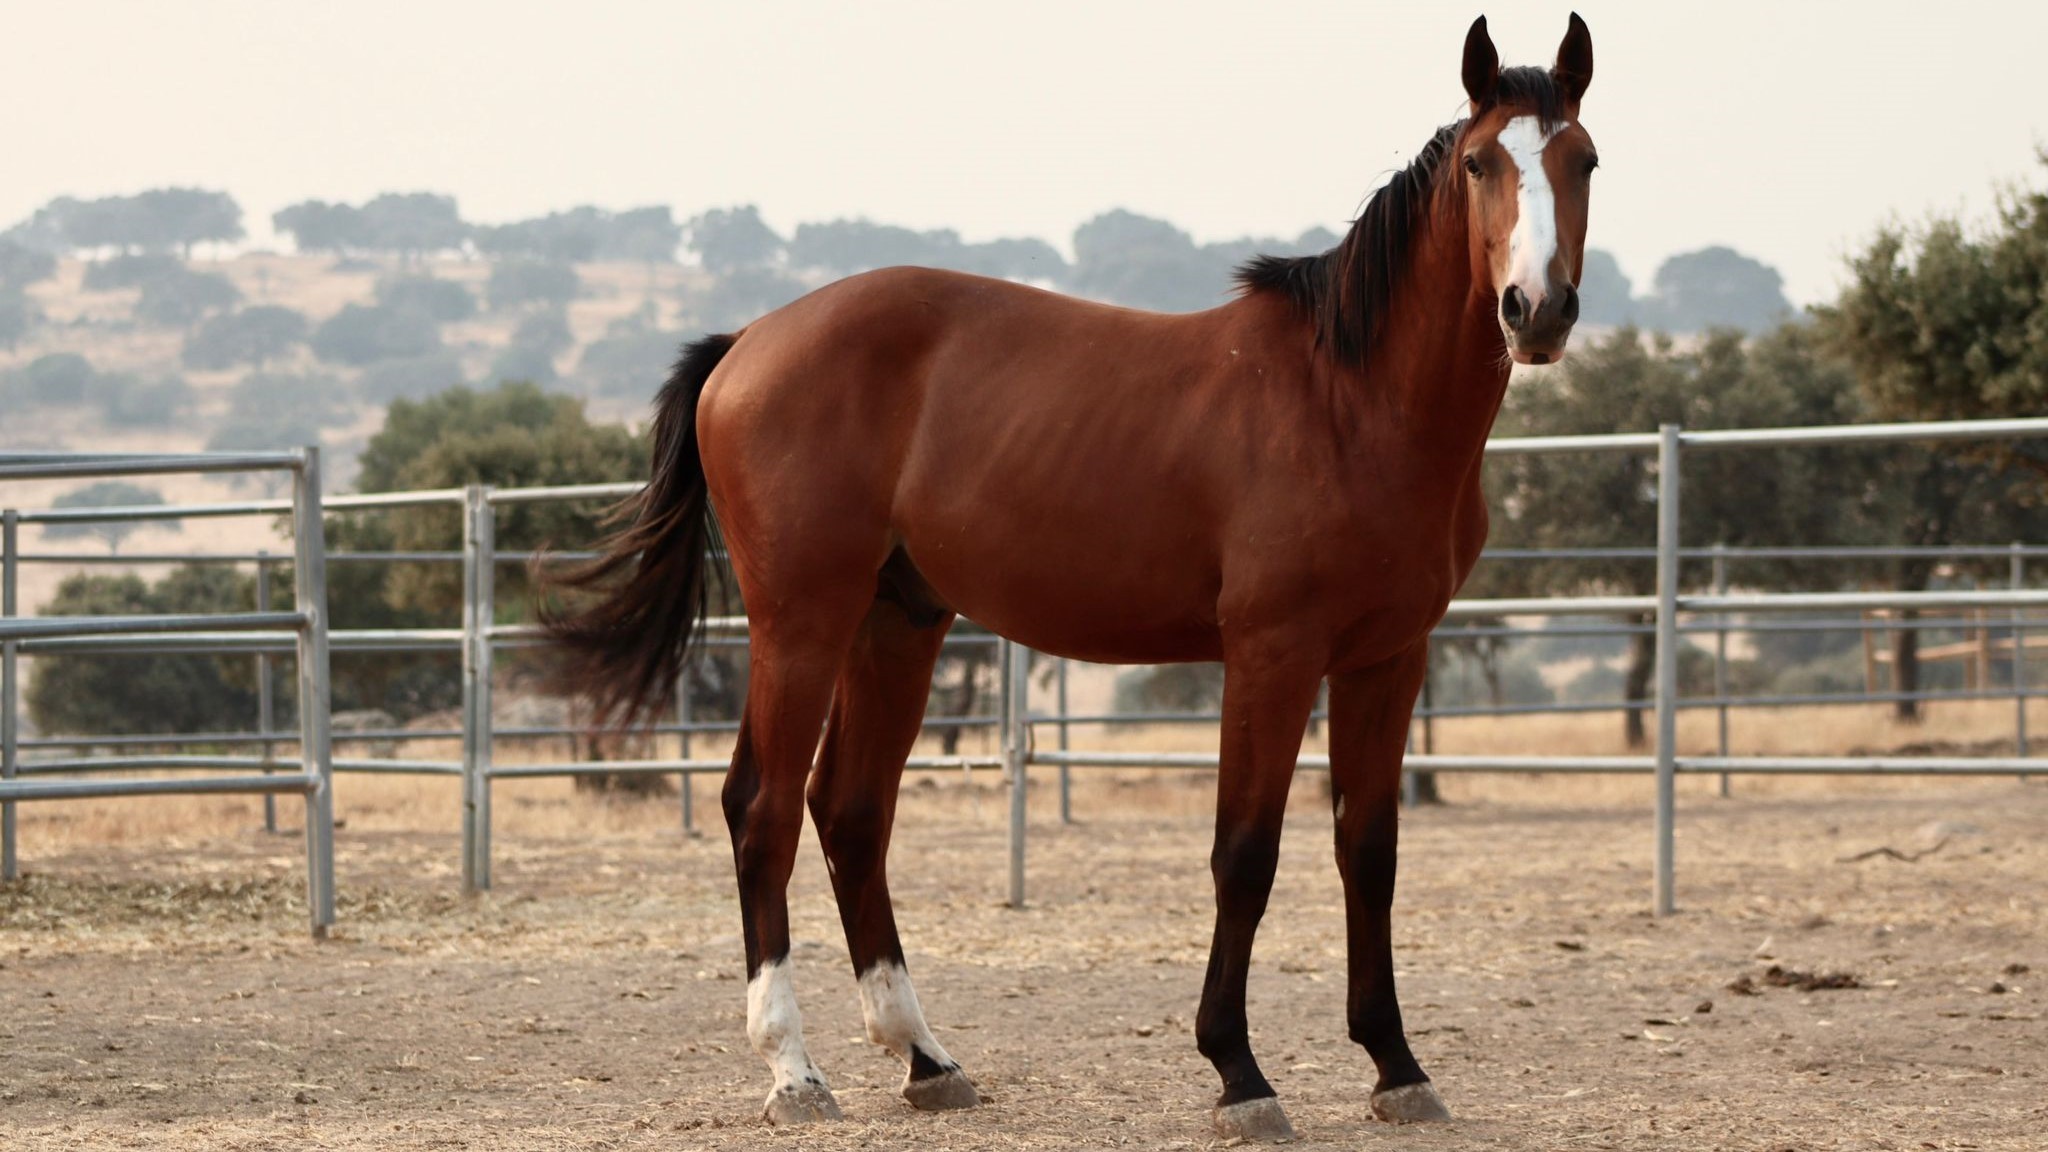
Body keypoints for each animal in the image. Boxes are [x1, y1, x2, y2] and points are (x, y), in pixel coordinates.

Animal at [542, 12, 1596, 1140]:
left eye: (1581, 159)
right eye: (1482, 163)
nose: (1535, 310)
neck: (1349, 401)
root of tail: (747, 343)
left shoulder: (1386, 659)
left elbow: (1370, 852)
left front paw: (1395, 1066)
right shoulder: (1270, 655)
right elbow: (1245, 852)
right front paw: (1239, 1072)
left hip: (896, 621)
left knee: (851, 811)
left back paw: (923, 1058)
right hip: (801, 621)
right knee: (762, 806)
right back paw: (793, 1071)